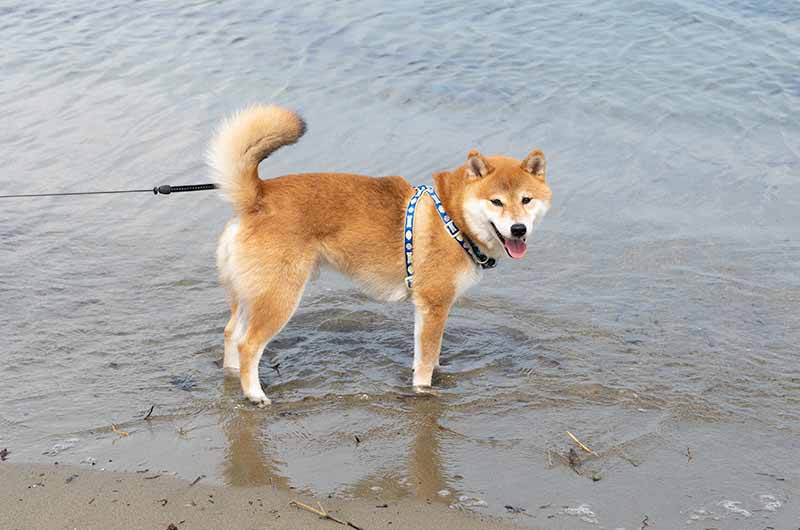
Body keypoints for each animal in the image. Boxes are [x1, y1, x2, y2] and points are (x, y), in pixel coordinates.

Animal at [209, 104, 552, 404]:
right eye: (496, 202)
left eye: (526, 199)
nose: (518, 229)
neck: (453, 219)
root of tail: (257, 197)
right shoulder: (435, 304)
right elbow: (426, 362)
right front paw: (423, 391)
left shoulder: (425, 310)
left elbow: (427, 355)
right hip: (279, 297)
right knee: (248, 345)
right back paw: (255, 395)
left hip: (249, 295)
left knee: (230, 334)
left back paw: (231, 375)